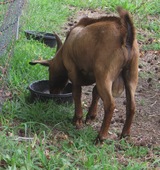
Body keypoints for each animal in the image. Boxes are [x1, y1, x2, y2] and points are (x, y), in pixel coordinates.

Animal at [29, 7, 139, 144]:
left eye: (50, 69)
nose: (53, 91)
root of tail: (126, 36)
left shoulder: (74, 72)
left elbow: (77, 94)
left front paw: (77, 119)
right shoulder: (95, 76)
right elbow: (95, 92)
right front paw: (90, 116)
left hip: (105, 76)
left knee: (110, 105)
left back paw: (101, 137)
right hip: (131, 77)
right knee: (132, 106)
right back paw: (125, 134)